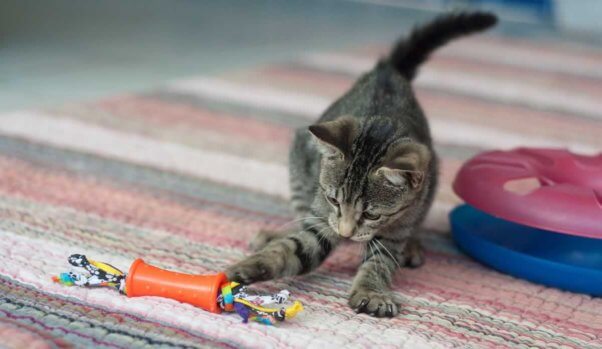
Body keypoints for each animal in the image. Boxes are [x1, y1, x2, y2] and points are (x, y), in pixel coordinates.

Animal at [227, 11, 494, 316]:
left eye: (372, 215)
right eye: (333, 200)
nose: (345, 233)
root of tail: (386, 70)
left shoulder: (395, 229)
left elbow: (379, 262)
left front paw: (371, 291)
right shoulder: (322, 221)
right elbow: (291, 248)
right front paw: (246, 267)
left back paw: (412, 246)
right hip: (300, 160)